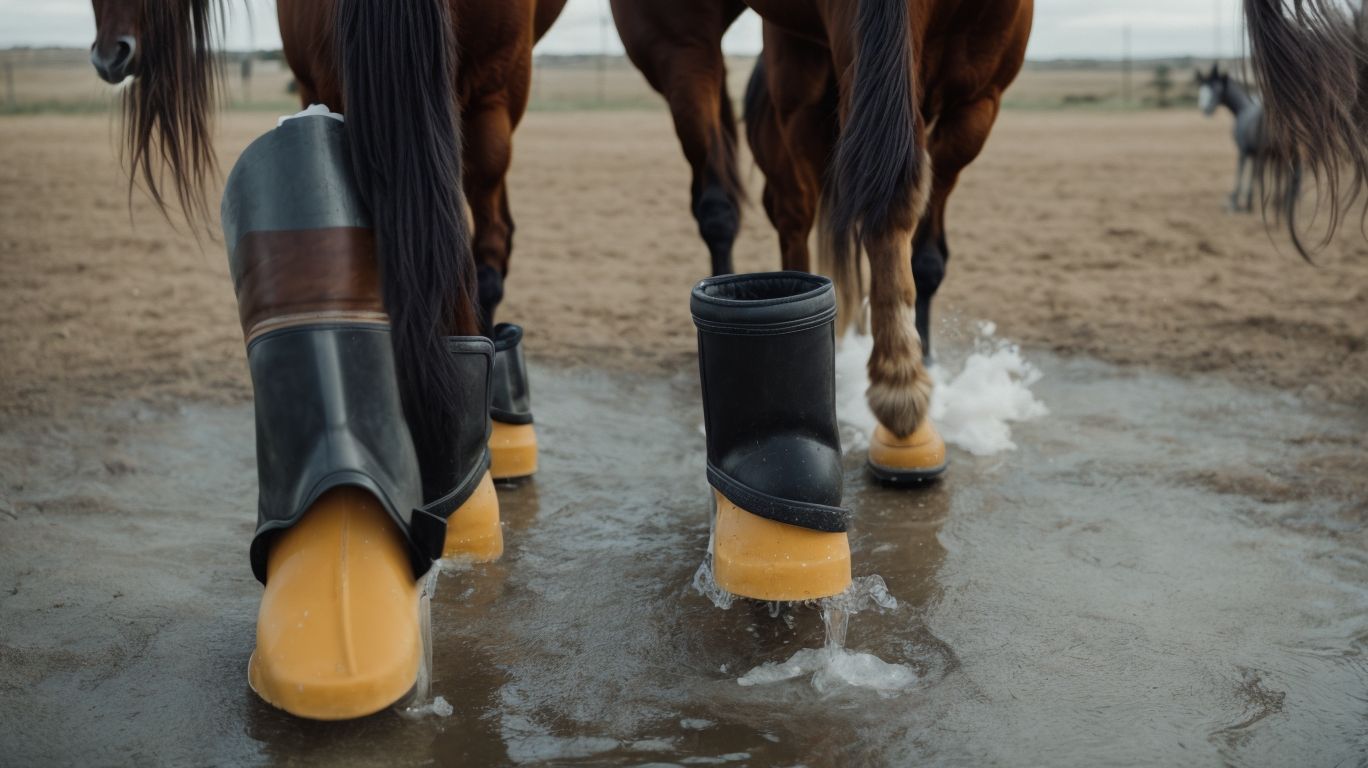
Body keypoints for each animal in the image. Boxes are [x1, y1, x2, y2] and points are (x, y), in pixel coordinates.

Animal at [1197, 65, 1268, 213]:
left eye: (1215, 89)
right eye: (1202, 89)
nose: (1205, 109)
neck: (1244, 108)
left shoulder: (1244, 150)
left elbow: (1240, 173)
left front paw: (1235, 201)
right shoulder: (1255, 153)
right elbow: (1253, 174)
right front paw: (1248, 201)